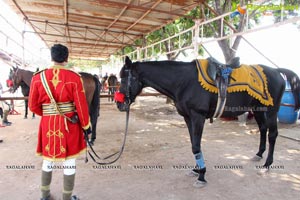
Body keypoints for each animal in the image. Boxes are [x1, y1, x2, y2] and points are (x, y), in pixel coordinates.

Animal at [116, 56, 300, 188]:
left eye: (124, 78)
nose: (119, 103)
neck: (184, 81)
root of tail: (276, 71)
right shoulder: (188, 118)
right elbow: (194, 144)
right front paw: (196, 169)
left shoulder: (197, 117)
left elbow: (196, 146)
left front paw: (202, 175)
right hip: (258, 110)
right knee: (263, 129)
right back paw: (259, 154)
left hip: (271, 110)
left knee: (273, 134)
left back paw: (267, 165)